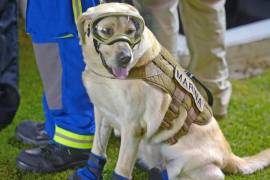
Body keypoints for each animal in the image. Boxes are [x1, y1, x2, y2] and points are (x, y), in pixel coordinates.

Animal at [77, 2, 270, 180]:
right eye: (107, 31)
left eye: (131, 31)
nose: (126, 58)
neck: (106, 76)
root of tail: (229, 155)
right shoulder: (102, 114)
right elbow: (97, 148)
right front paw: (89, 172)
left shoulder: (133, 127)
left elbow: (122, 168)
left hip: (185, 158)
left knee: (205, 174)